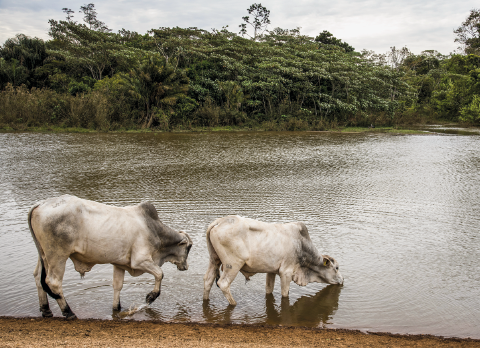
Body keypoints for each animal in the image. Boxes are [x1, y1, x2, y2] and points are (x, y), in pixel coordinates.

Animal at [28, 194, 192, 320]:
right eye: (189, 247)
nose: (185, 267)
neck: (154, 230)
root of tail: (40, 204)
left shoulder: (119, 264)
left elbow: (117, 286)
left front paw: (116, 308)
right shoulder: (140, 261)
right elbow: (159, 273)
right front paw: (151, 296)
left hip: (43, 255)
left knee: (38, 277)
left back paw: (46, 310)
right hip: (58, 255)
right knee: (53, 282)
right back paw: (68, 313)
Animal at [204, 216, 344, 306]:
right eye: (336, 267)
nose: (342, 279)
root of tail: (219, 221)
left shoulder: (271, 271)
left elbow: (269, 289)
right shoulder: (286, 273)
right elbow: (285, 294)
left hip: (213, 260)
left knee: (208, 280)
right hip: (233, 265)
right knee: (223, 283)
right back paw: (234, 304)